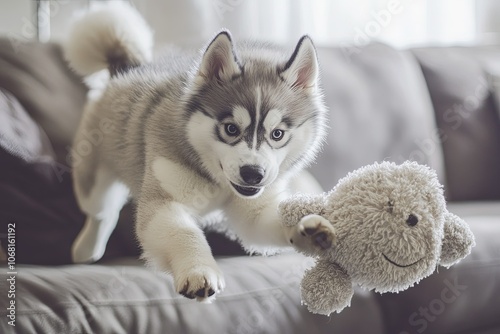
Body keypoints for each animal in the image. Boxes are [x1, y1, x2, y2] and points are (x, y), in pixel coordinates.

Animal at [65, 1, 328, 300]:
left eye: (277, 134)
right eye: (231, 129)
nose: (253, 174)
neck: (218, 181)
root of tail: (127, 68)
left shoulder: (255, 211)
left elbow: (272, 219)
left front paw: (308, 227)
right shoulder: (164, 203)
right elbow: (184, 234)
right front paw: (198, 271)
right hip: (94, 176)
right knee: (101, 210)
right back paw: (86, 249)